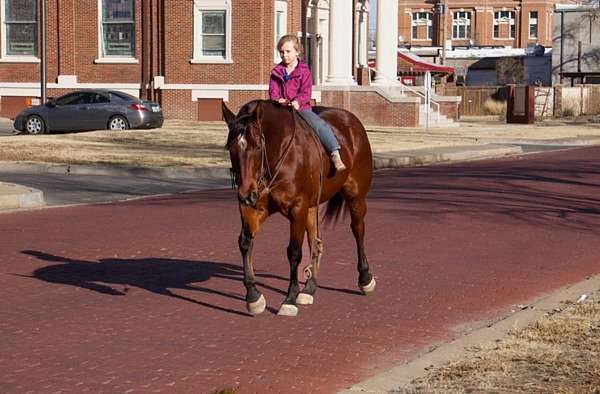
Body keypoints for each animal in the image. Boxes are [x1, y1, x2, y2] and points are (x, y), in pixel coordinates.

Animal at [224, 99, 376, 318]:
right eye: (231, 148)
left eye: (257, 146)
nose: (245, 194)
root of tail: (352, 120)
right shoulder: (255, 208)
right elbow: (245, 243)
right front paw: (253, 296)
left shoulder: (297, 208)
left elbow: (294, 252)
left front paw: (289, 298)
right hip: (311, 208)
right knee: (316, 242)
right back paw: (310, 287)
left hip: (355, 197)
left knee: (358, 230)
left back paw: (365, 278)